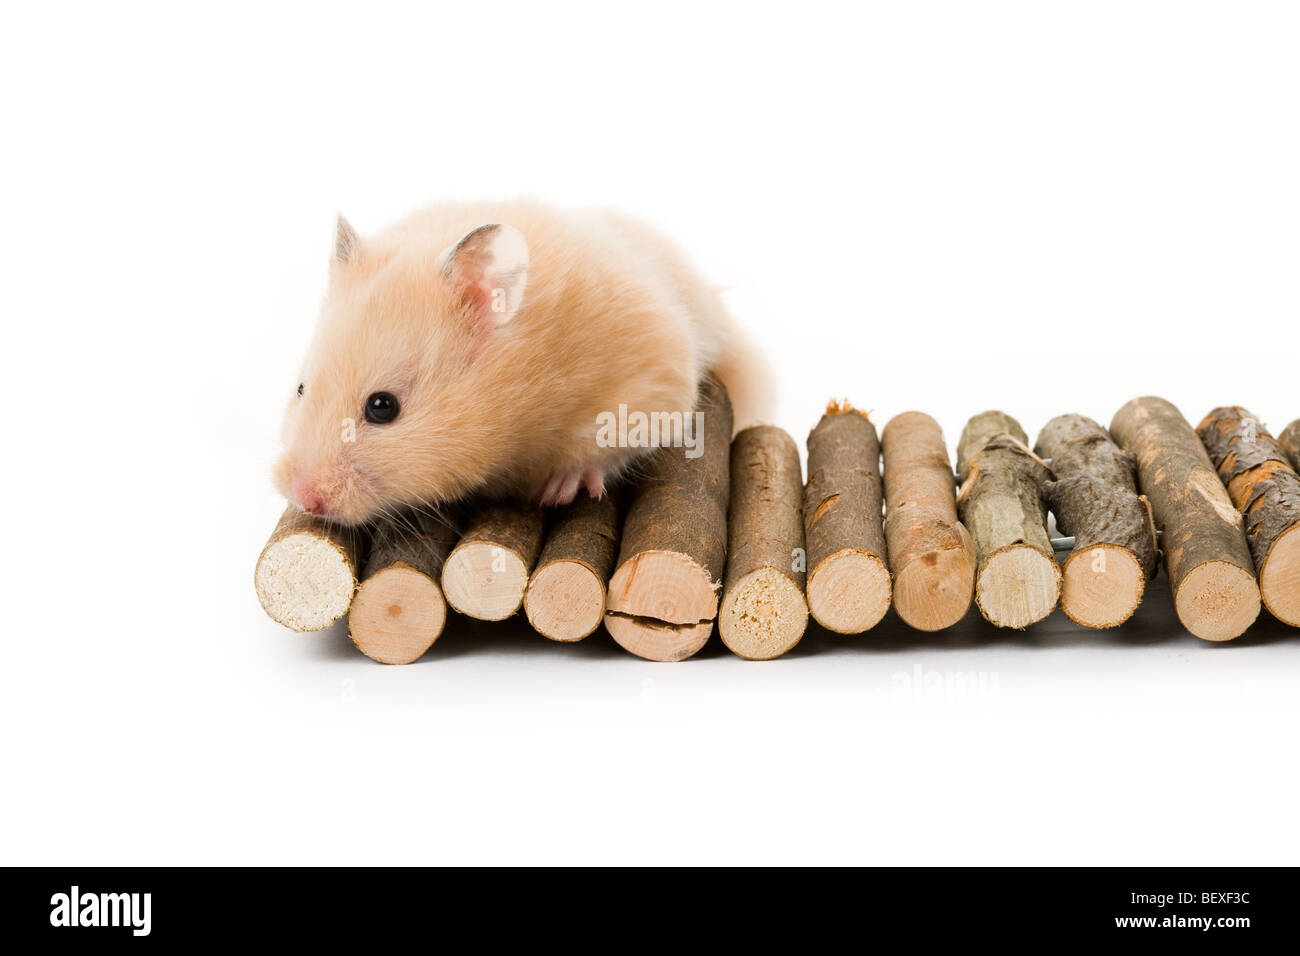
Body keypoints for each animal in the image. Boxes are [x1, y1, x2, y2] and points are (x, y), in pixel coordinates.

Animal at [273, 199, 771, 525]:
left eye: (382, 407)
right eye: (300, 389)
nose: (303, 497)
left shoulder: (651, 380)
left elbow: (609, 448)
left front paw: (559, 491)